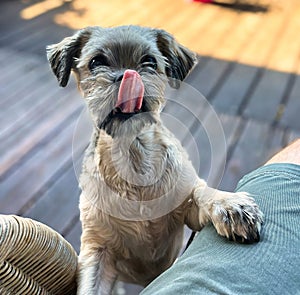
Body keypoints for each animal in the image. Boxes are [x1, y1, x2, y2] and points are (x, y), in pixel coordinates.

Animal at [46, 26, 262, 295]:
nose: (124, 77)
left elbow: (201, 192)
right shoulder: (98, 248)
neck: (134, 157)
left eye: (149, 61)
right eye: (96, 62)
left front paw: (231, 205)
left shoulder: (188, 211)